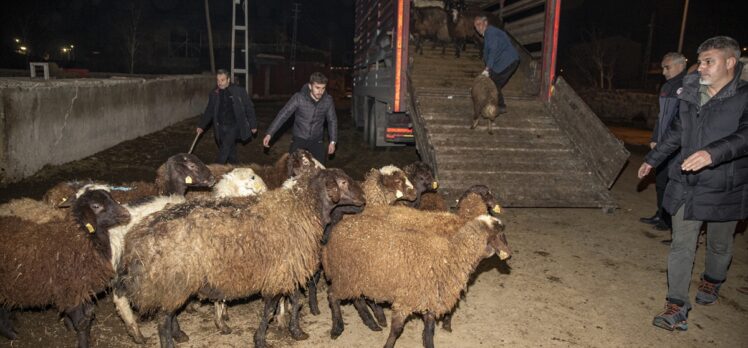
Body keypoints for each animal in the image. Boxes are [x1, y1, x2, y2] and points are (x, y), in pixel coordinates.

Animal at [0, 184, 131, 346]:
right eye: (96, 205)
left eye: (111, 197)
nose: (126, 213)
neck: (81, 236)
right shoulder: (69, 291)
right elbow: (82, 323)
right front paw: (82, 343)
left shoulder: (81, 290)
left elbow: (87, 317)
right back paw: (11, 333)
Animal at [117, 169, 368, 348]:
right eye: (343, 183)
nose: (363, 199)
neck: (302, 207)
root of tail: (135, 239)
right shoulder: (280, 272)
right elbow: (269, 309)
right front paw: (261, 340)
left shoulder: (286, 269)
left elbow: (295, 302)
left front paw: (297, 332)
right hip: (174, 281)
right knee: (163, 322)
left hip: (172, 284)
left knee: (168, 317)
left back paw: (179, 335)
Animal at [322, 205, 508, 346]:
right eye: (500, 234)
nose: (509, 254)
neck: (450, 255)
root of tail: (339, 227)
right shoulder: (406, 299)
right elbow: (396, 330)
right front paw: (388, 344)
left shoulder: (430, 298)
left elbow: (429, 331)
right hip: (344, 275)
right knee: (333, 296)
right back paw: (337, 328)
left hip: (358, 278)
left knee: (357, 299)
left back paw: (372, 323)